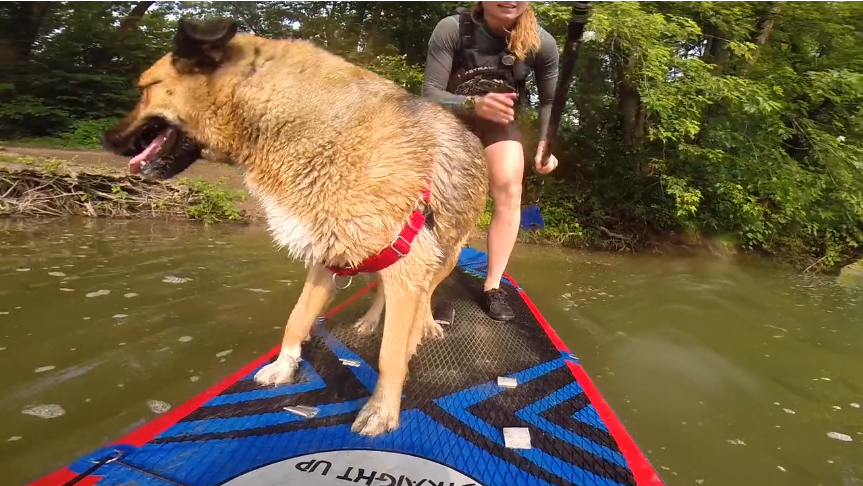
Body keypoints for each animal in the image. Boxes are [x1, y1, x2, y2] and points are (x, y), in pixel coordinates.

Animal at [101, 18, 488, 436]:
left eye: (145, 89)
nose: (107, 139)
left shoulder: (407, 263)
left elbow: (390, 353)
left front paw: (382, 409)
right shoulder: (327, 259)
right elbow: (297, 319)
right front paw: (283, 367)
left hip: (445, 254)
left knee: (426, 295)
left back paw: (424, 325)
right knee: (382, 293)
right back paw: (371, 321)